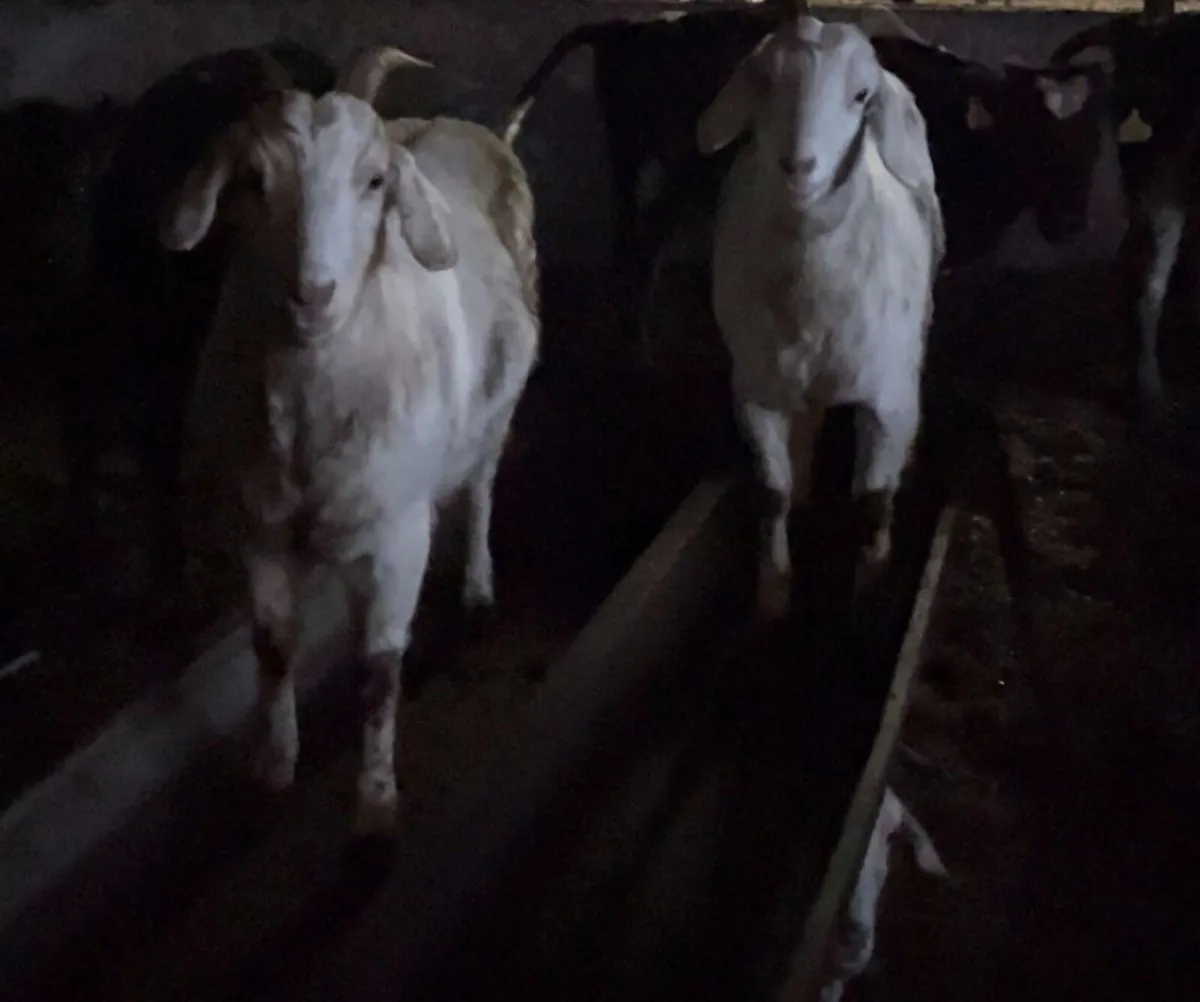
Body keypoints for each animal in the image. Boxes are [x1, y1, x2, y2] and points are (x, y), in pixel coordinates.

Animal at [158, 47, 540, 836]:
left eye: (373, 181)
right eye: (253, 179)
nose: (314, 295)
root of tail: (478, 128)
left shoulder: (398, 531)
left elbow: (378, 667)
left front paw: (374, 801)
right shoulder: (259, 527)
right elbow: (272, 648)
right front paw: (274, 767)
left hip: (498, 406)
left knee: (483, 483)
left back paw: (479, 582)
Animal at [506, 5, 1109, 364]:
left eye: (1090, 142)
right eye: (1031, 133)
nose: (1070, 224)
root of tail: (635, 26)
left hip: (630, 164)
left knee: (628, 248)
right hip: (677, 170)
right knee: (643, 250)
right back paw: (642, 354)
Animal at [698, 13, 943, 619]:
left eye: (861, 96)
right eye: (765, 82)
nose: (798, 166)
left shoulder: (889, 397)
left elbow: (873, 499)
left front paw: (871, 589)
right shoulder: (755, 391)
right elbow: (771, 492)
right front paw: (773, 591)